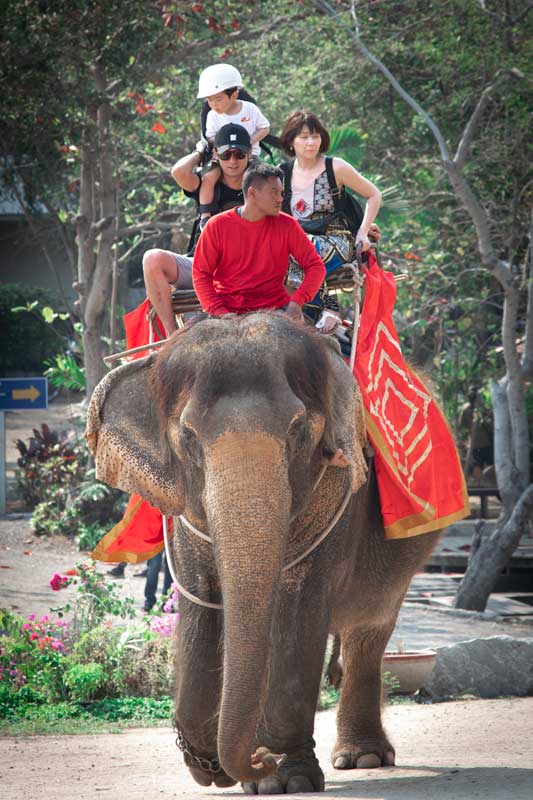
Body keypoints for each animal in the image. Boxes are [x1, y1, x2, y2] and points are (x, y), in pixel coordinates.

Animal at [86, 312, 436, 792]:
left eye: (296, 429)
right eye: (188, 437)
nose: (258, 761)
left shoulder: (340, 491)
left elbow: (299, 607)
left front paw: (282, 779)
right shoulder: (184, 517)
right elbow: (200, 603)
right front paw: (209, 765)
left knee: (368, 630)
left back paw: (362, 757)